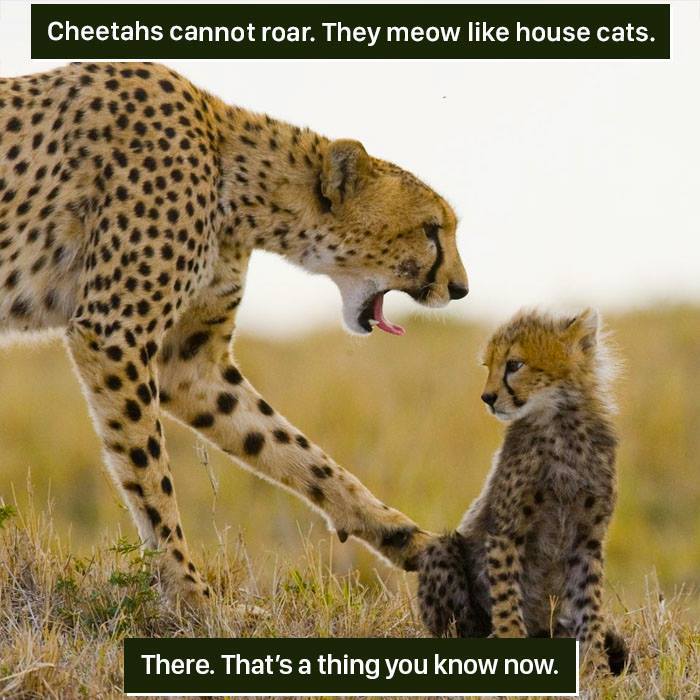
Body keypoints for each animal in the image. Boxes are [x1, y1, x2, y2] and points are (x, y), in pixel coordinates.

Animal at [0, 61, 469, 607]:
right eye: (431, 229)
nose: (461, 288)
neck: (237, 179)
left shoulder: (188, 364)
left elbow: (290, 447)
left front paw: (402, 535)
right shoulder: (114, 331)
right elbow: (150, 475)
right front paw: (189, 595)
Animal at [417, 308, 629, 675]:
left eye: (514, 364)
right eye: (487, 366)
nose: (487, 398)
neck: (560, 422)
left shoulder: (587, 538)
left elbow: (589, 603)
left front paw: (596, 668)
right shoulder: (507, 529)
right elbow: (505, 593)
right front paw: (510, 639)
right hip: (441, 553)